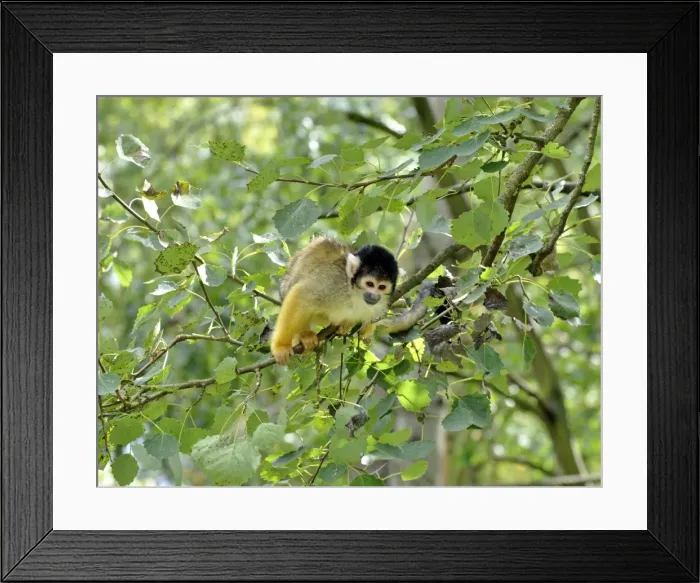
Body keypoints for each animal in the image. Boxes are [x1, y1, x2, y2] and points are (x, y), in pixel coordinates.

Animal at [270, 237, 398, 365]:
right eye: (370, 284)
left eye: (382, 287)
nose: (374, 296)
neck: (354, 292)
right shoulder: (333, 283)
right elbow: (301, 294)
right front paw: (280, 346)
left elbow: (365, 330)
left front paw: (358, 326)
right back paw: (303, 336)